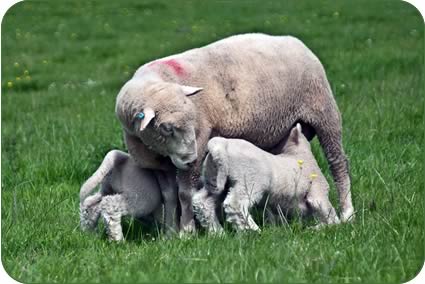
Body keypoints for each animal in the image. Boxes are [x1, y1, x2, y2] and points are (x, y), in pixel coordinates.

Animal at [192, 124, 338, 233]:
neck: (298, 154)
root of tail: (220, 144)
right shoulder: (319, 193)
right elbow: (331, 215)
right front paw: (321, 228)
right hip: (250, 181)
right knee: (235, 204)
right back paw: (252, 231)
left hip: (214, 178)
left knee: (203, 201)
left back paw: (217, 232)